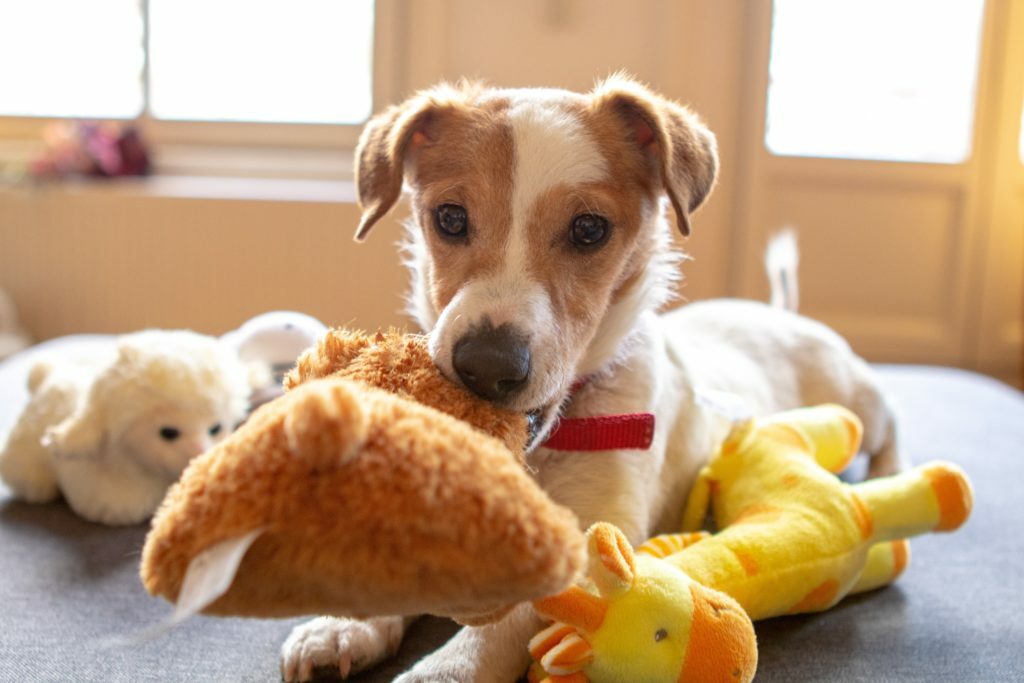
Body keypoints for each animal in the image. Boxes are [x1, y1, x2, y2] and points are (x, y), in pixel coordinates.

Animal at [280, 76, 905, 683]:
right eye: (450, 218)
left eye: (588, 229)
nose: (487, 366)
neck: (544, 446)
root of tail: (780, 313)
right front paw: (344, 624)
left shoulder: (601, 533)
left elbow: (512, 619)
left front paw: (446, 668)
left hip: (859, 402)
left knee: (890, 428)